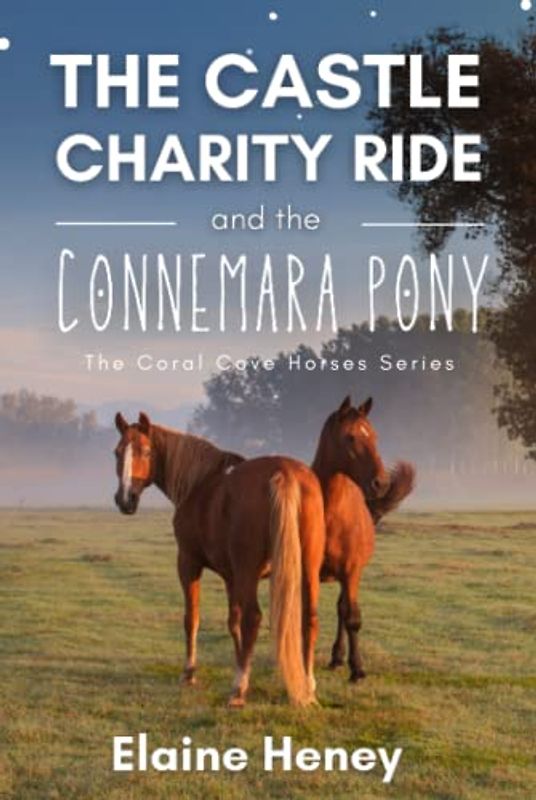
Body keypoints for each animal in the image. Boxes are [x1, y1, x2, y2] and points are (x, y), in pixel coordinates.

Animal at [113, 411, 326, 707]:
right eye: (117, 452)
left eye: (145, 451)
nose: (125, 500)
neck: (199, 483)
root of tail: (283, 473)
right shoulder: (231, 576)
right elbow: (232, 621)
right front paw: (240, 662)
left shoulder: (188, 563)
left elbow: (192, 617)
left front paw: (190, 672)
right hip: (308, 569)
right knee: (309, 619)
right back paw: (307, 685)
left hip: (249, 571)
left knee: (253, 618)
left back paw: (239, 689)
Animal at [312, 395, 415, 682]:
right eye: (350, 437)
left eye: (375, 436)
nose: (381, 483)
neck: (330, 513)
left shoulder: (351, 571)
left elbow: (352, 619)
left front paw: (357, 669)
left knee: (343, 610)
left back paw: (338, 658)